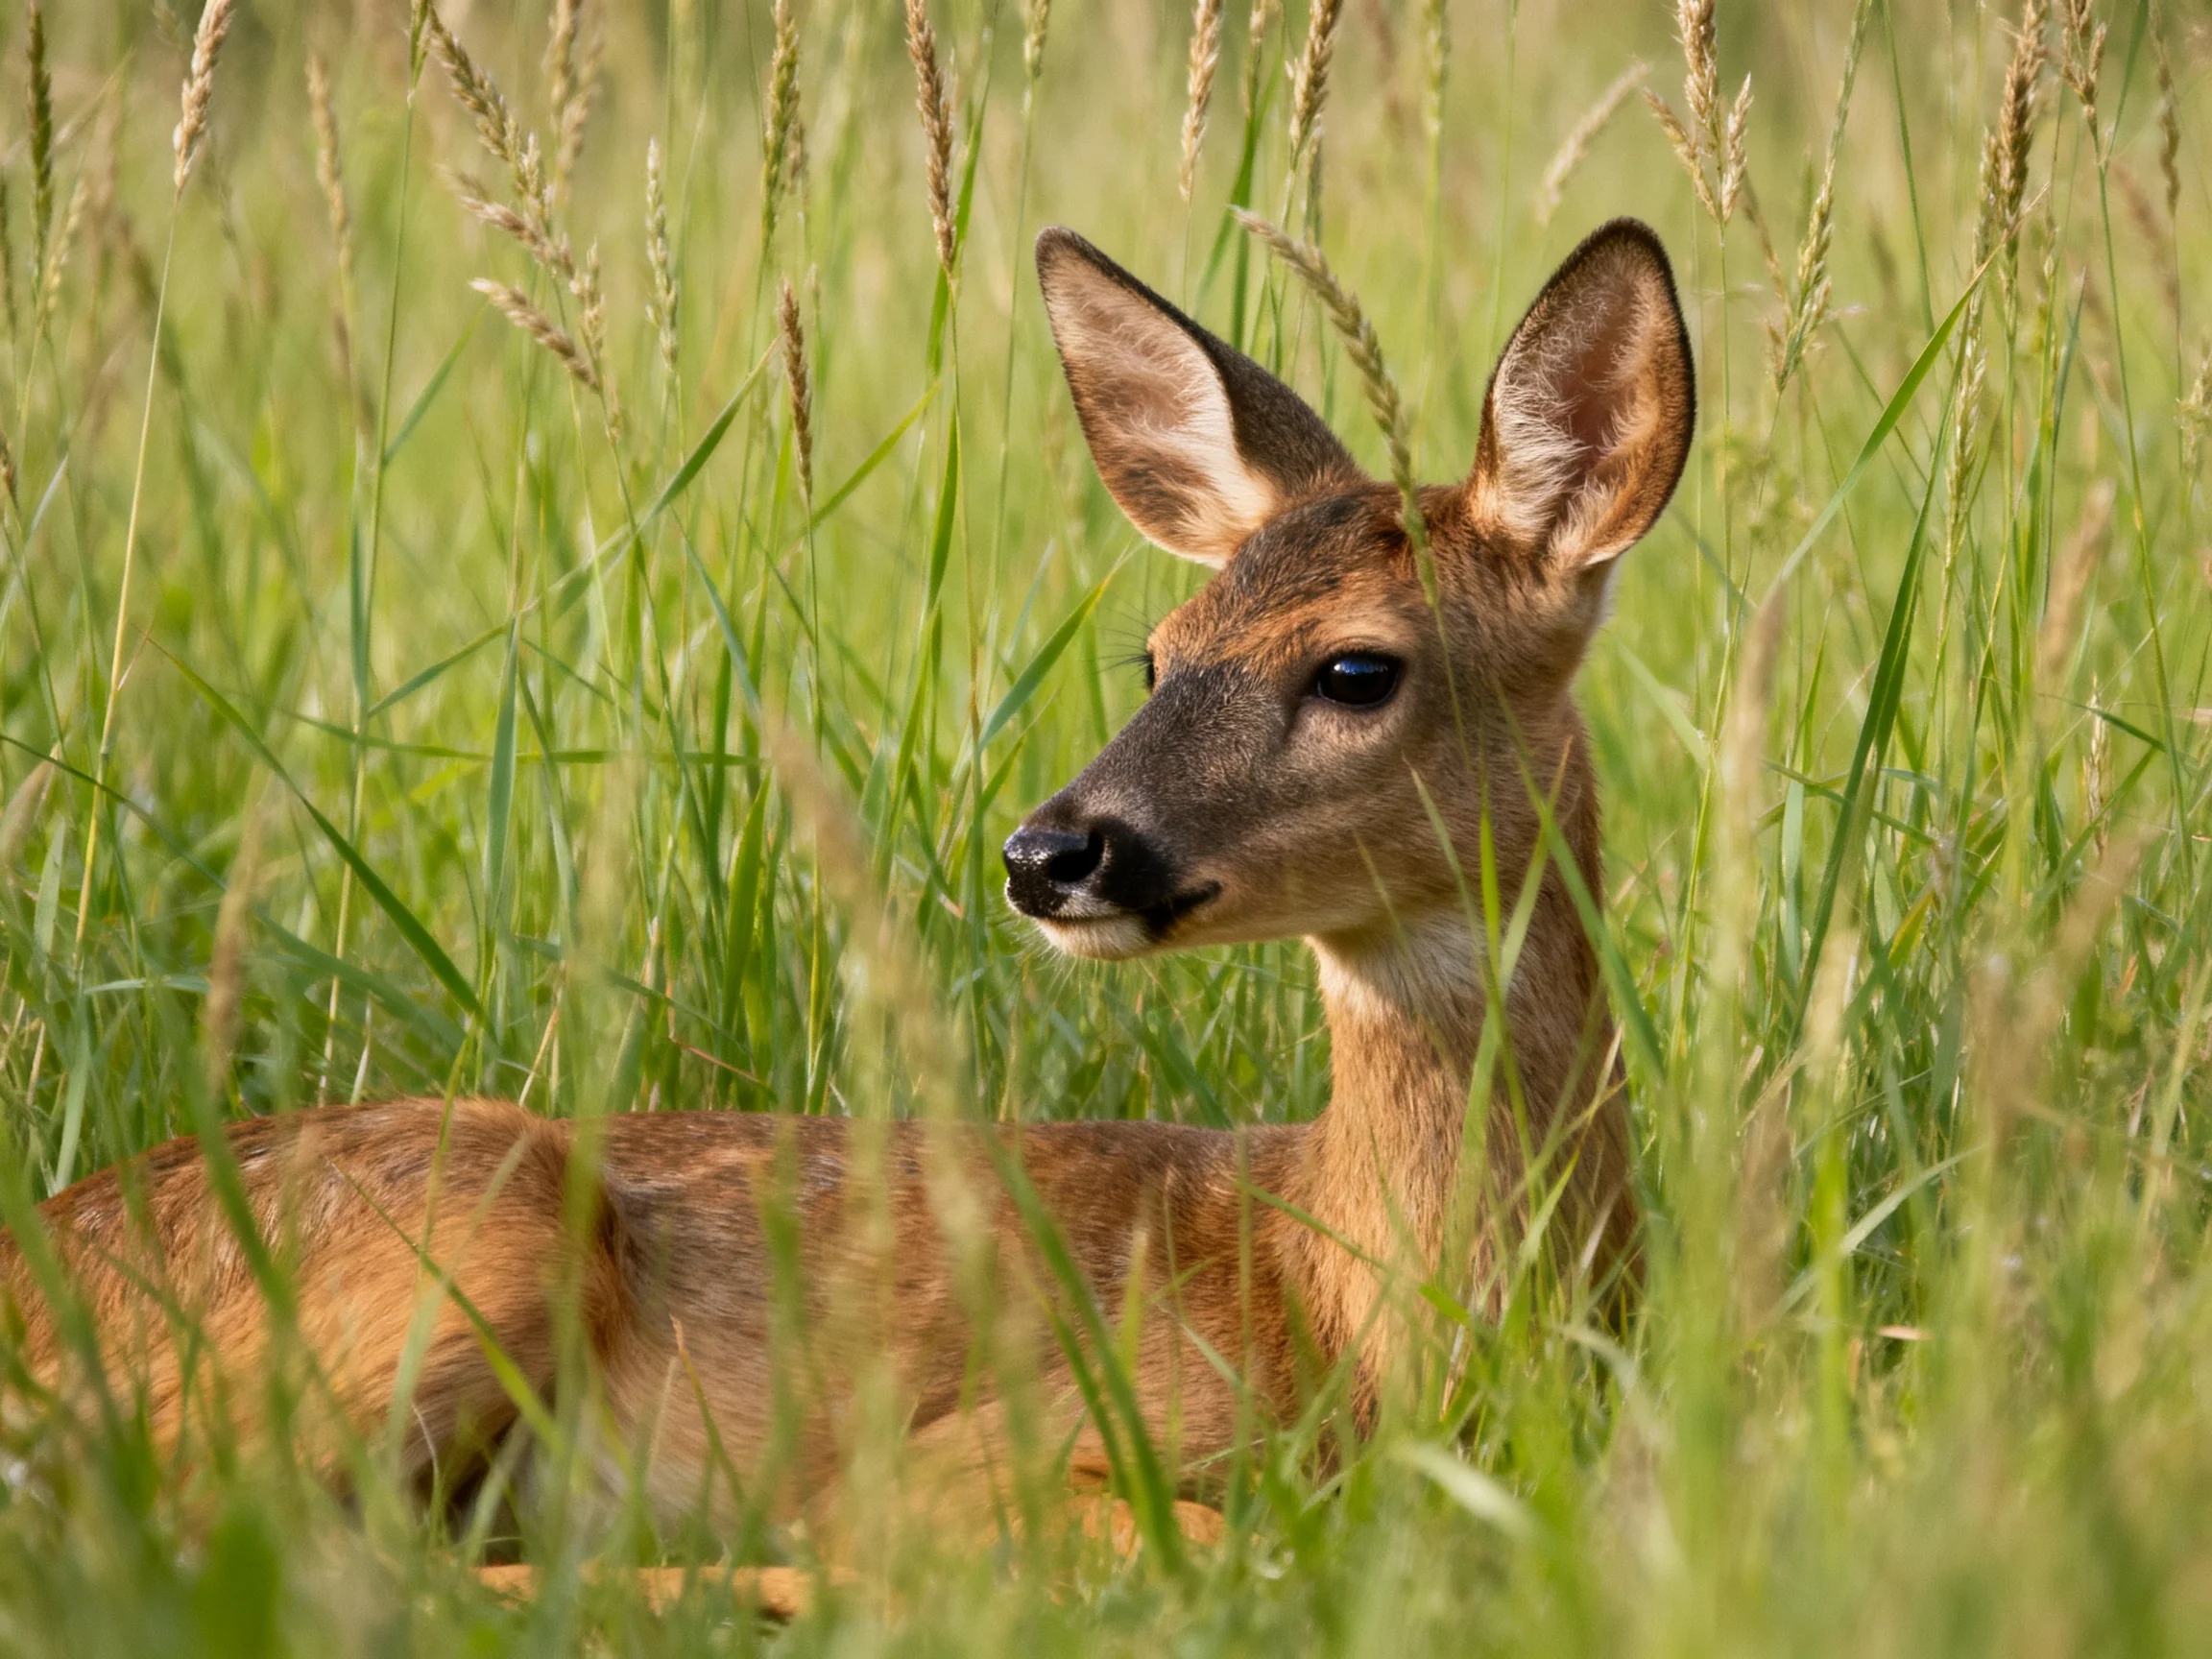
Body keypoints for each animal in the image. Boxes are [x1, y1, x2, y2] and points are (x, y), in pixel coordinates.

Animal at [0, 219, 1691, 1578]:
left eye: (1354, 668)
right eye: (1157, 652)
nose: (1049, 853)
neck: (1357, 1315)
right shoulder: (1012, 1440)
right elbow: (1213, 1543)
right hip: (465, 1235)